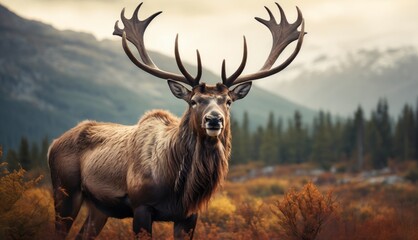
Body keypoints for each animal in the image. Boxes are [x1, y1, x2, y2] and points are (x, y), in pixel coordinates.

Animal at [48, 1, 304, 238]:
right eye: (194, 101)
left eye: (228, 101)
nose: (214, 119)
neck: (179, 188)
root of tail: (53, 144)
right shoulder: (141, 206)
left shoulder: (189, 215)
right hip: (65, 192)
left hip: (99, 207)